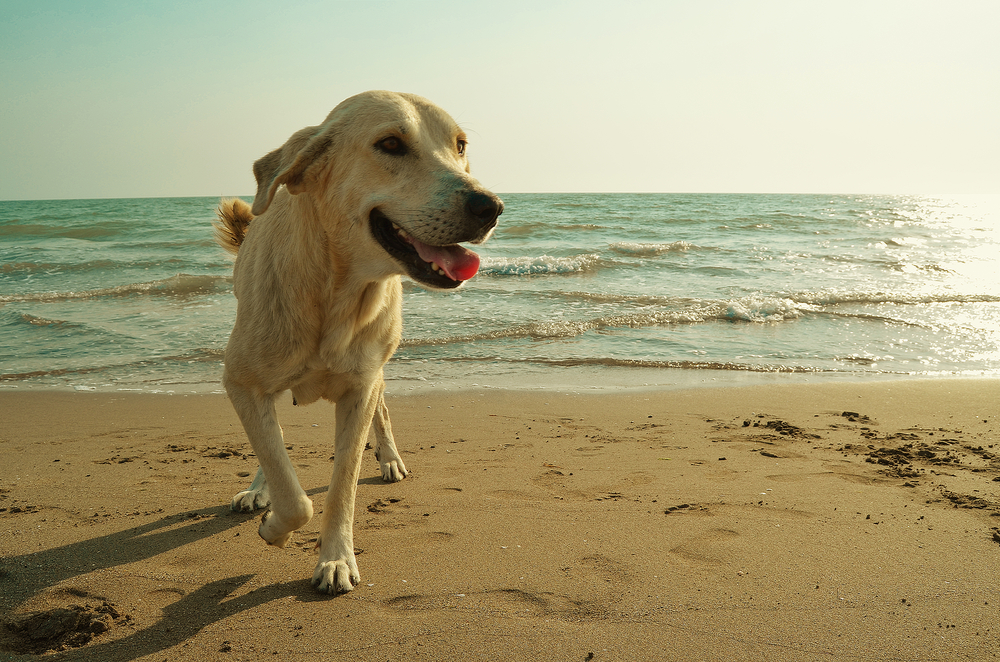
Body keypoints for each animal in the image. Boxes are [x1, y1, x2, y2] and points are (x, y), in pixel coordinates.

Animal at [215, 89, 504, 596]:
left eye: (460, 146)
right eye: (389, 144)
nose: (490, 206)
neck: (337, 294)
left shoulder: (360, 387)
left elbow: (342, 483)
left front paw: (335, 559)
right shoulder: (241, 379)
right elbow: (288, 482)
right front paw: (273, 522)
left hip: (378, 366)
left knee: (382, 410)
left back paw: (389, 459)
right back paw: (258, 489)